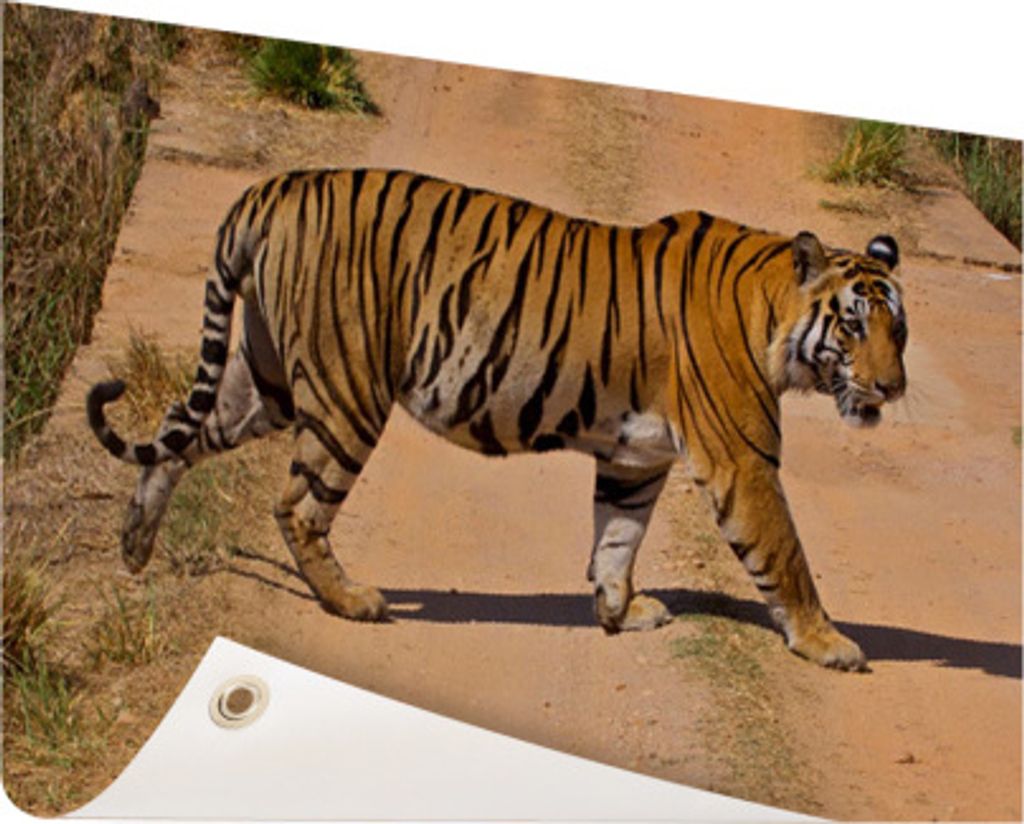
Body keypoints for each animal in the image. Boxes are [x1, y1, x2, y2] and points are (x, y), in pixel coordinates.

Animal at [87, 168, 906, 672]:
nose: (894, 388)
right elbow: (785, 555)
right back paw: (351, 602)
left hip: (264, 382)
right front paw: (828, 643)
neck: (773, 310)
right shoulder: (742, 459)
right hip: (346, 392)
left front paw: (619, 611)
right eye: (855, 325)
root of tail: (272, 188)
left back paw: (133, 546)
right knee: (296, 507)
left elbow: (618, 536)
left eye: (899, 328)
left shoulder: (636, 458)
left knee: (174, 437)